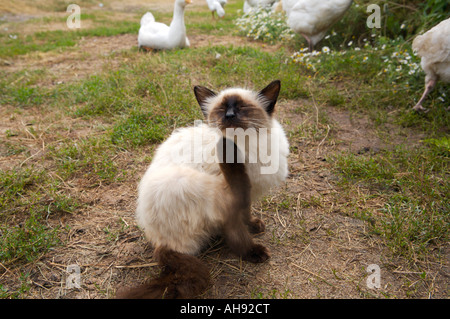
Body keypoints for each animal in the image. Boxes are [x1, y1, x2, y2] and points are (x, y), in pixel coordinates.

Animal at [117, 80, 288, 300]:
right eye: (221, 109)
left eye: (242, 107)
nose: (229, 116)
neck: (246, 144)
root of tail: (161, 242)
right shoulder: (239, 191)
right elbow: (239, 216)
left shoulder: (250, 194)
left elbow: (246, 212)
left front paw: (253, 225)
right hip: (191, 183)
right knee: (232, 225)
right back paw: (255, 251)